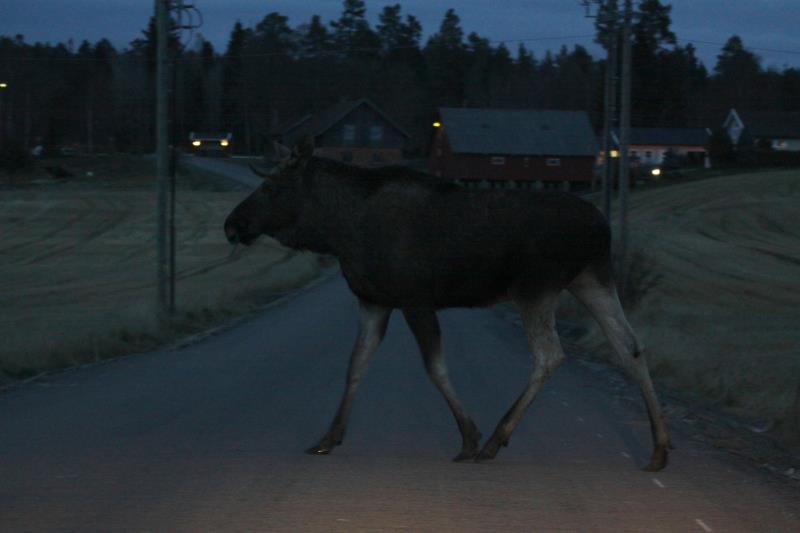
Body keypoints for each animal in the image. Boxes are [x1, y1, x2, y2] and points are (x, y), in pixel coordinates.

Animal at [223, 137, 668, 470]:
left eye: (271, 187)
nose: (232, 224)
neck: (338, 232)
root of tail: (602, 228)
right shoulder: (373, 300)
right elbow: (355, 365)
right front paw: (329, 437)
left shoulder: (415, 299)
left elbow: (435, 368)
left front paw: (469, 437)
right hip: (592, 279)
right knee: (629, 346)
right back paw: (659, 448)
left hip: (535, 287)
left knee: (550, 354)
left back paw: (495, 439)